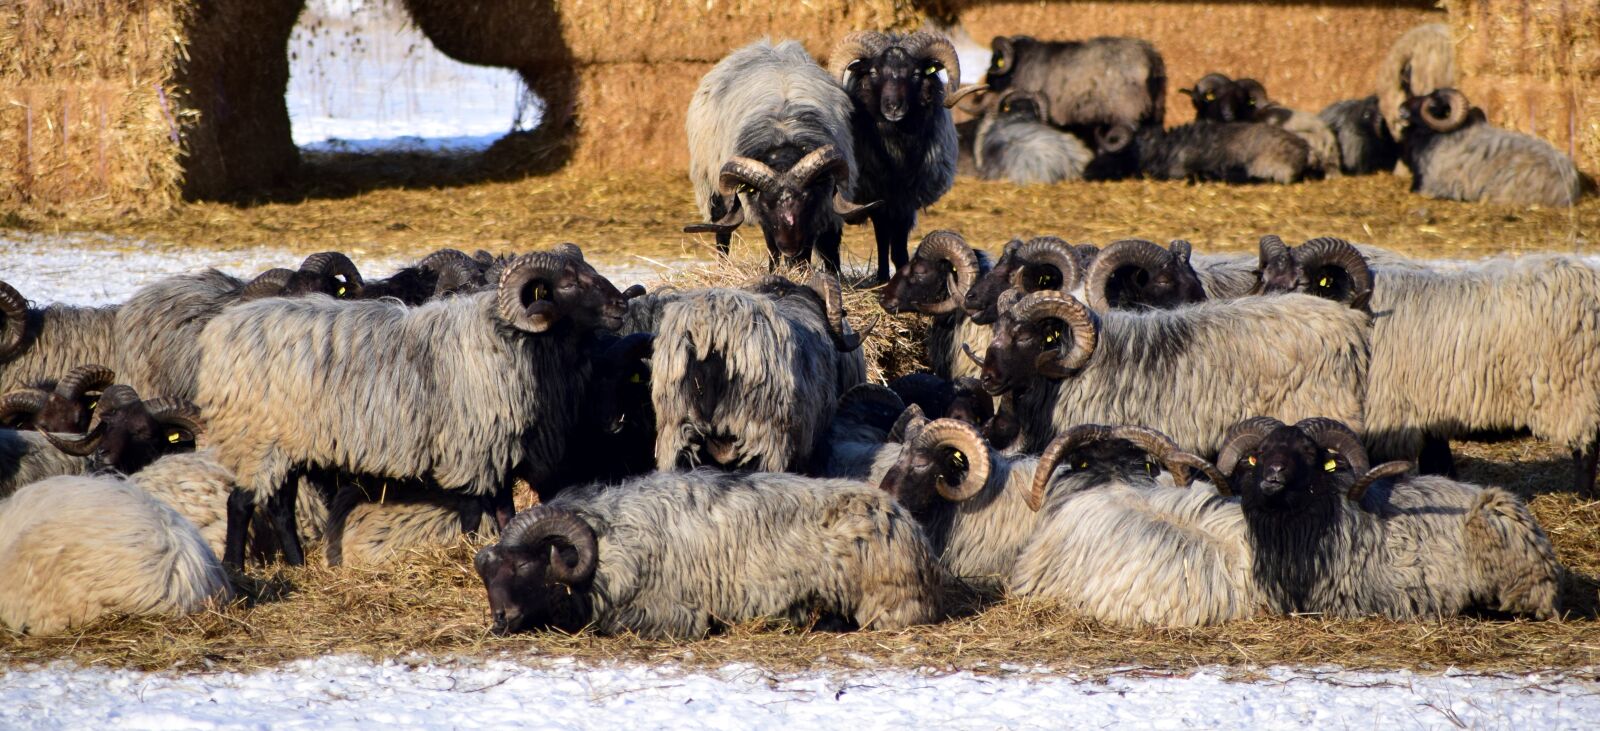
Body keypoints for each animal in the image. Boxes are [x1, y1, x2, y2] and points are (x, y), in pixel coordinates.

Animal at [197, 246, 628, 569]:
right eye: (569, 283)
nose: (621, 305)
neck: (511, 338)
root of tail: (220, 332)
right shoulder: (468, 446)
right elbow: (473, 511)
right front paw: (468, 549)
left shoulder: (496, 448)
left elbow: (504, 508)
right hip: (254, 437)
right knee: (240, 502)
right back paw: (235, 567)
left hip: (287, 444)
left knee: (280, 506)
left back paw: (299, 564)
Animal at [474, 469, 943, 638]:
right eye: (487, 576)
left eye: (526, 564)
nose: (499, 619)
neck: (613, 540)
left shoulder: (673, 614)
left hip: (887, 602)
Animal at [683, 39, 877, 271]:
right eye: (767, 203)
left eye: (806, 198)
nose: (789, 247)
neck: (784, 138)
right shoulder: (766, 218)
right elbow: (771, 246)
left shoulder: (824, 207)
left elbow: (824, 247)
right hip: (714, 191)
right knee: (723, 235)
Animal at [831, 30, 980, 282]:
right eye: (874, 72)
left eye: (916, 73)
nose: (893, 107)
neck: (897, 152)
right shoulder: (878, 195)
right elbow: (882, 238)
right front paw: (882, 278)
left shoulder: (906, 200)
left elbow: (899, 247)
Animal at [981, 35, 1166, 144]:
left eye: (995, 59)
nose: (987, 79)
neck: (1020, 63)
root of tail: (1149, 60)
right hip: (1154, 112)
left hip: (1129, 112)